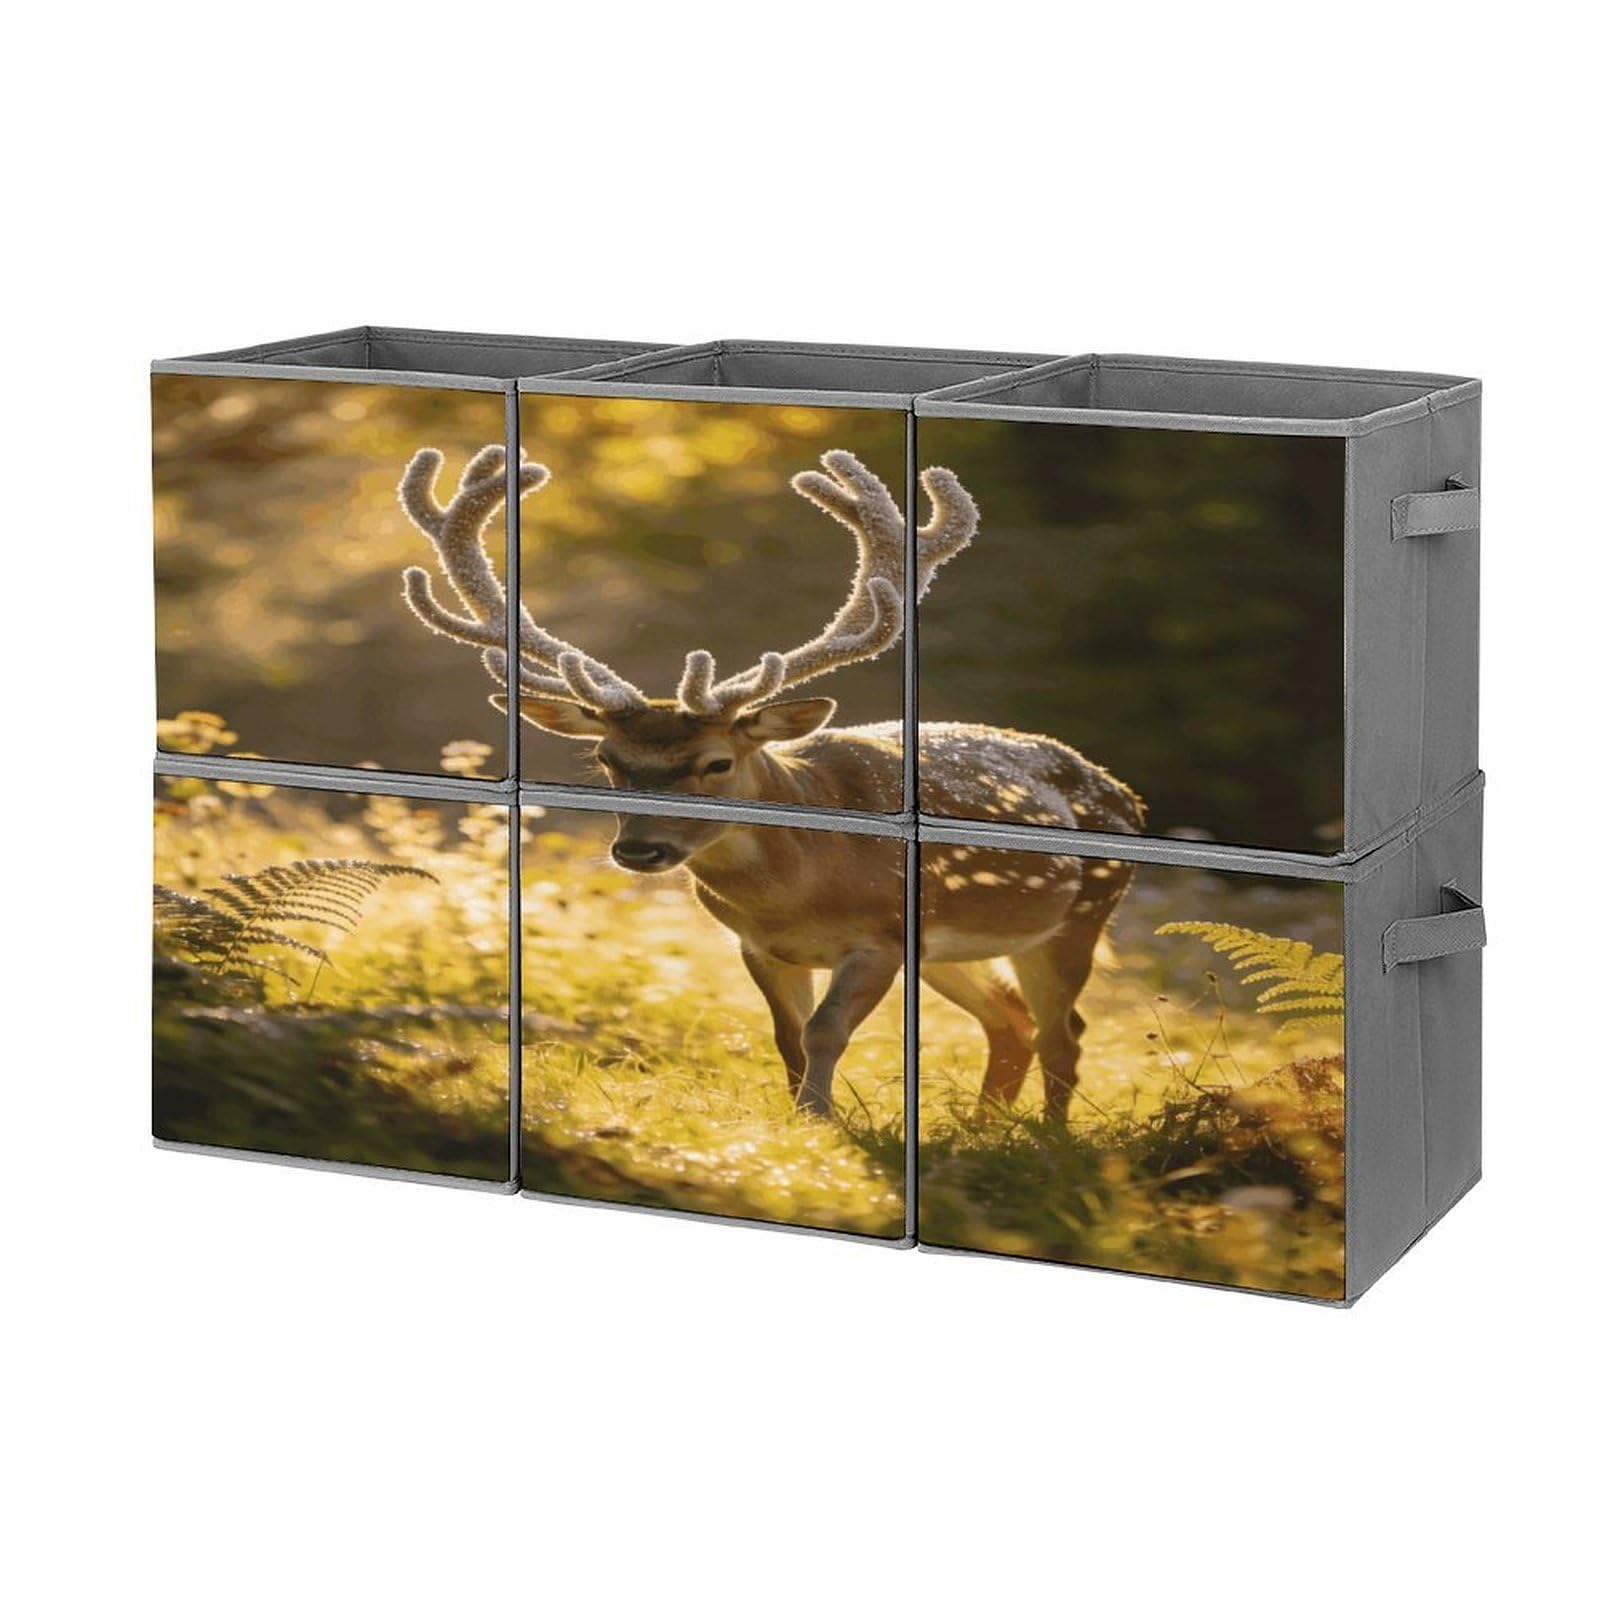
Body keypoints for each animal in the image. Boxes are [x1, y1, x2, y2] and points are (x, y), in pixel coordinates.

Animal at [396, 443, 1144, 1119]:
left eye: (717, 763)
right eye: (608, 759)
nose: (639, 849)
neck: (800, 889)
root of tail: (1126, 796)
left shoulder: (883, 937)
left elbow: (825, 1031)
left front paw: (821, 1121)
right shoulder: (760, 945)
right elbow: (786, 1036)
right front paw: (800, 1119)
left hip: (1078, 917)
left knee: (1064, 1033)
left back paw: (1047, 1140)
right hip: (952, 949)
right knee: (1012, 1022)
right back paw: (984, 1130)